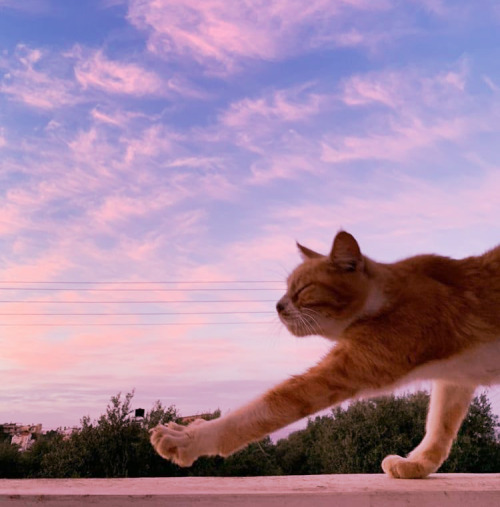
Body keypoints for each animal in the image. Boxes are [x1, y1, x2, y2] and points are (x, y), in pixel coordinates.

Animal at [150, 232, 500, 478]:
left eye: (302, 289)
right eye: (286, 288)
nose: (277, 305)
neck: (383, 299)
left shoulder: (351, 366)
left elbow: (266, 408)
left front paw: (189, 438)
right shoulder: (455, 378)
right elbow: (440, 428)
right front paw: (416, 466)